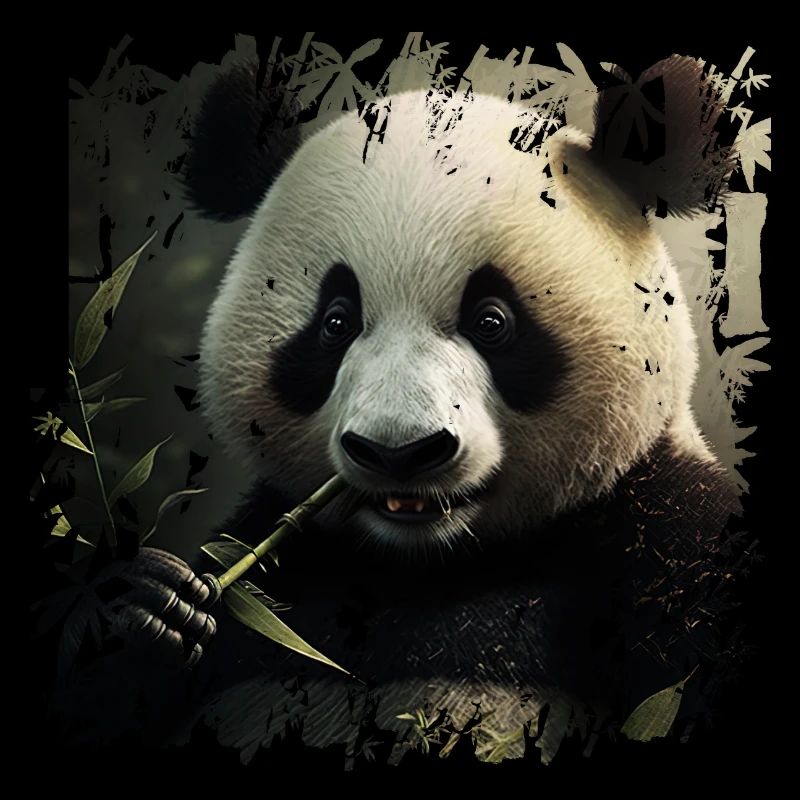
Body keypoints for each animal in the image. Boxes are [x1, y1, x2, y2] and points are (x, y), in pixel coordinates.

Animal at [62, 56, 743, 764]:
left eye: (492, 321)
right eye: (335, 322)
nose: (400, 452)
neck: (433, 566)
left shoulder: (668, 542)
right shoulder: (284, 555)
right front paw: (150, 609)